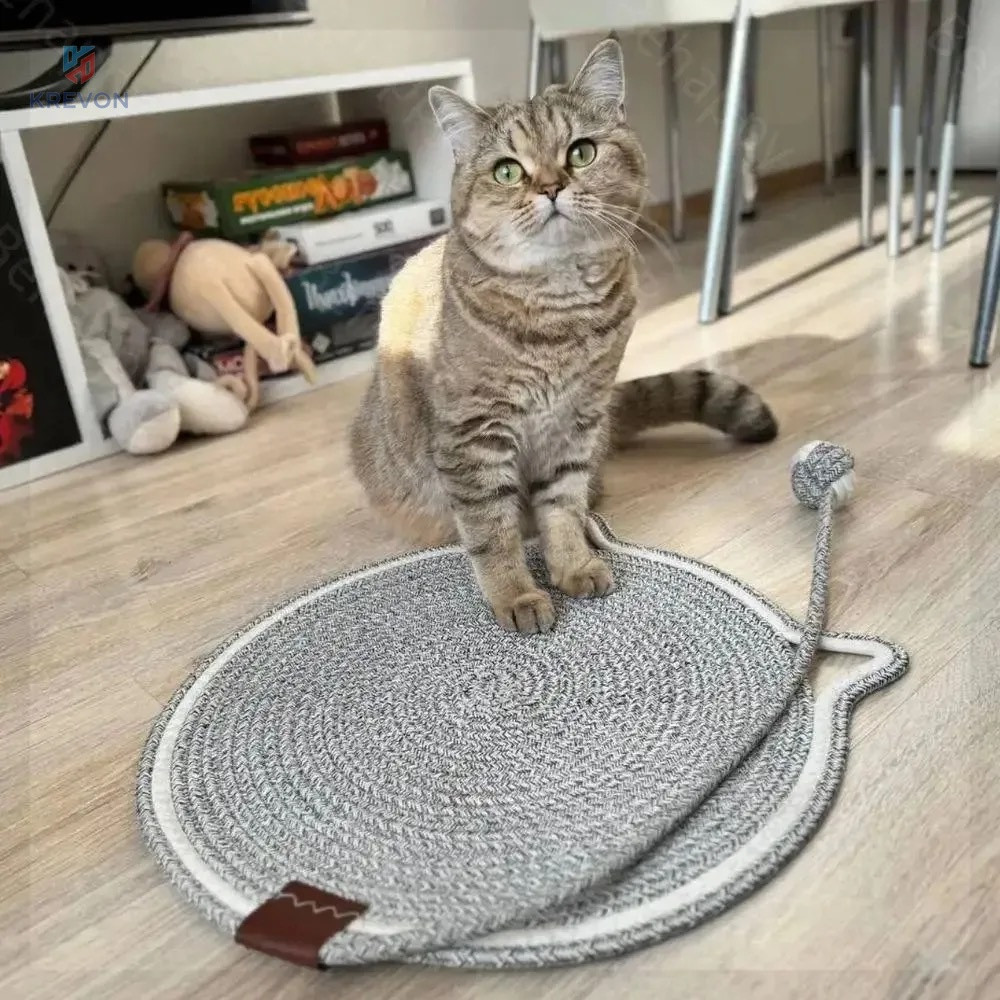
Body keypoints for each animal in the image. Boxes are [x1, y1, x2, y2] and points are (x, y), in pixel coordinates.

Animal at [350, 39, 777, 635]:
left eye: (581, 153)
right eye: (508, 171)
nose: (552, 186)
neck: (560, 317)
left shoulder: (575, 422)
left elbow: (562, 507)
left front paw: (573, 565)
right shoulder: (474, 436)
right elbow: (491, 531)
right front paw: (516, 595)